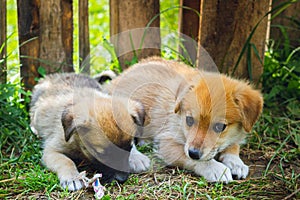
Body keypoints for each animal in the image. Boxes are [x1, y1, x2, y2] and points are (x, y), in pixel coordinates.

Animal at [104, 56, 264, 183]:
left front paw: (236, 163)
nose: (194, 153)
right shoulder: (168, 143)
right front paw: (216, 169)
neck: (179, 121)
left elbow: (233, 145)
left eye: (220, 127)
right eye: (189, 120)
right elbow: (192, 159)